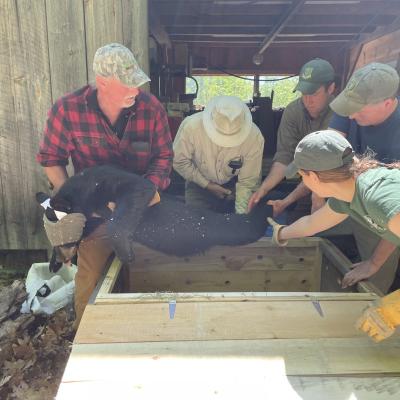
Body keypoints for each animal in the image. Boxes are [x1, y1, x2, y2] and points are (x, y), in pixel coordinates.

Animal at [37, 164, 274, 270]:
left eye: (66, 238)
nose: (62, 260)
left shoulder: (115, 182)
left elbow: (132, 197)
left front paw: (125, 251)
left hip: (227, 228)